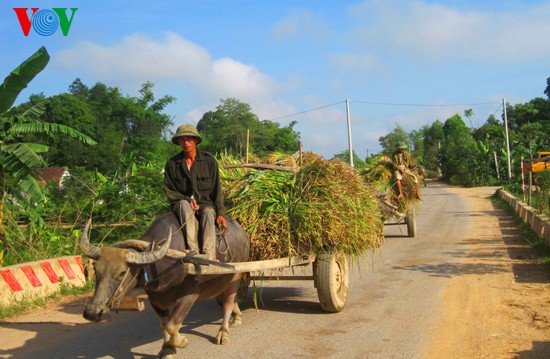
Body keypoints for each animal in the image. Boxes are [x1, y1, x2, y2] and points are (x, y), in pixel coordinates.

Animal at [80, 212, 252, 358]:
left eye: (122, 272)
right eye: (96, 268)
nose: (92, 312)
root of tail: (242, 232)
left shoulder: (189, 296)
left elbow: (172, 325)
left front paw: (181, 341)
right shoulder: (155, 299)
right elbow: (164, 325)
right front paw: (167, 349)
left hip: (236, 275)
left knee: (229, 301)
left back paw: (223, 332)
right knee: (226, 298)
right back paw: (237, 317)